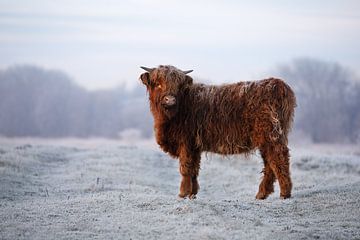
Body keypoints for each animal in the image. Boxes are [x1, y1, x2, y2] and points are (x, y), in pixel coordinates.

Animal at [139, 64, 296, 200]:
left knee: (279, 158)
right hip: (266, 139)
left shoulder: (186, 142)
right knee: (270, 162)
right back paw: (262, 194)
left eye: (178, 86)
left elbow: (186, 168)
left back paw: (285, 193)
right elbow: (194, 169)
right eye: (158, 84)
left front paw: (182, 194)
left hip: (271, 135)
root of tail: (278, 84)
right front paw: (192, 194)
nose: (170, 100)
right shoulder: (195, 146)